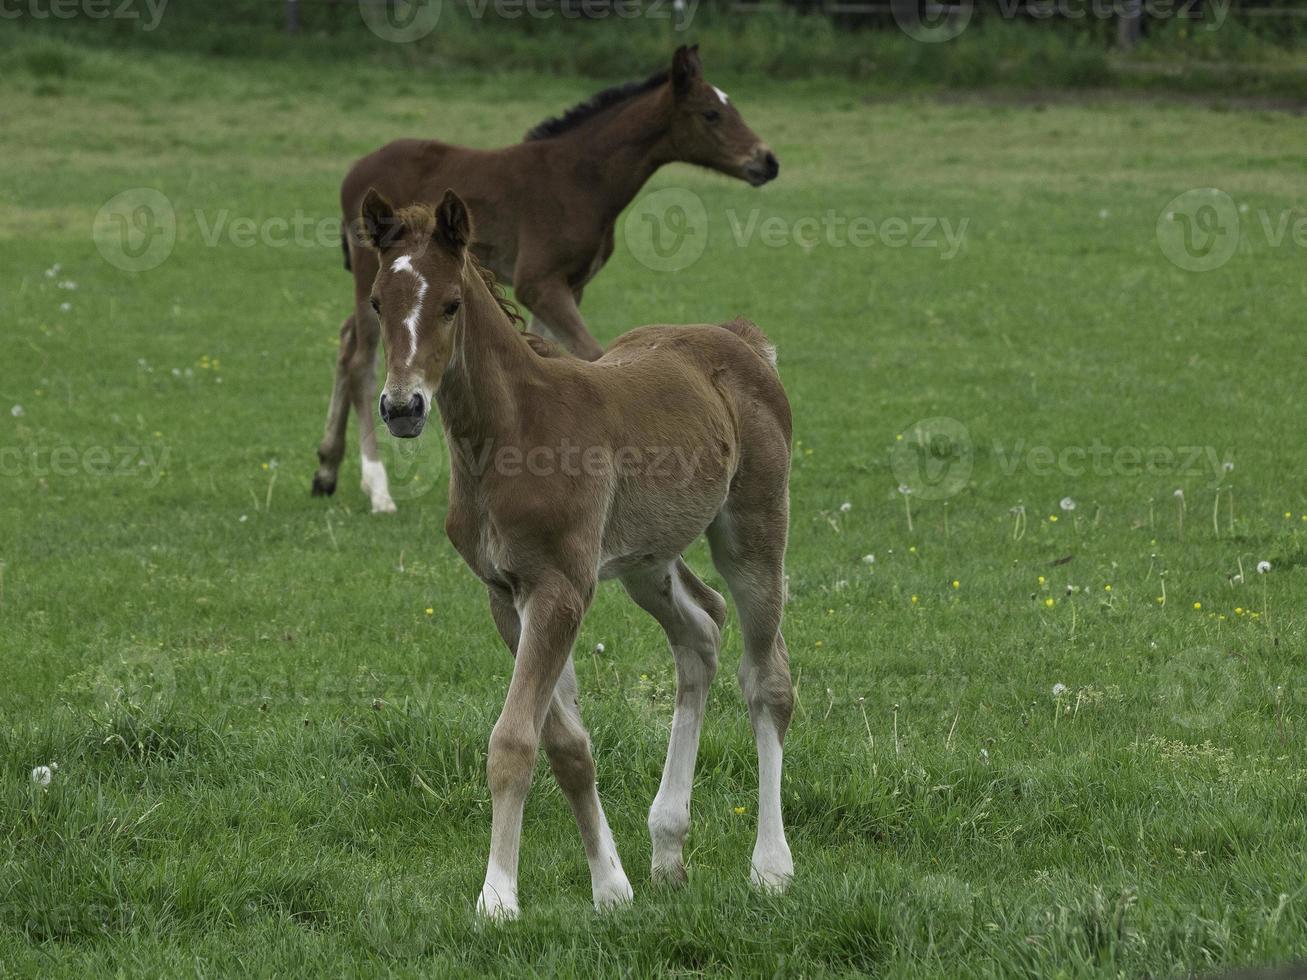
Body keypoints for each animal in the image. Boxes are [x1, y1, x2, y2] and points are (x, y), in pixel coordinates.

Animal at [313, 46, 784, 517]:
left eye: (732, 107)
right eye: (711, 114)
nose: (767, 161)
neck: (580, 177)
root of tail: (353, 172)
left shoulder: (570, 285)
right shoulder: (539, 283)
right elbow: (591, 352)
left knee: (345, 341)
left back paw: (326, 470)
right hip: (368, 278)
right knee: (360, 363)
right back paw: (378, 488)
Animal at [358, 189, 799, 919]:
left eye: (451, 303)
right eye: (375, 303)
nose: (401, 407)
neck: (510, 436)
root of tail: (738, 338)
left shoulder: (561, 588)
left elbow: (513, 740)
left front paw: (497, 897)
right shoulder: (507, 595)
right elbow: (565, 743)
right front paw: (610, 886)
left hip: (754, 533)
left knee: (767, 681)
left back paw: (771, 866)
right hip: (647, 561)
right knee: (700, 630)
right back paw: (666, 848)